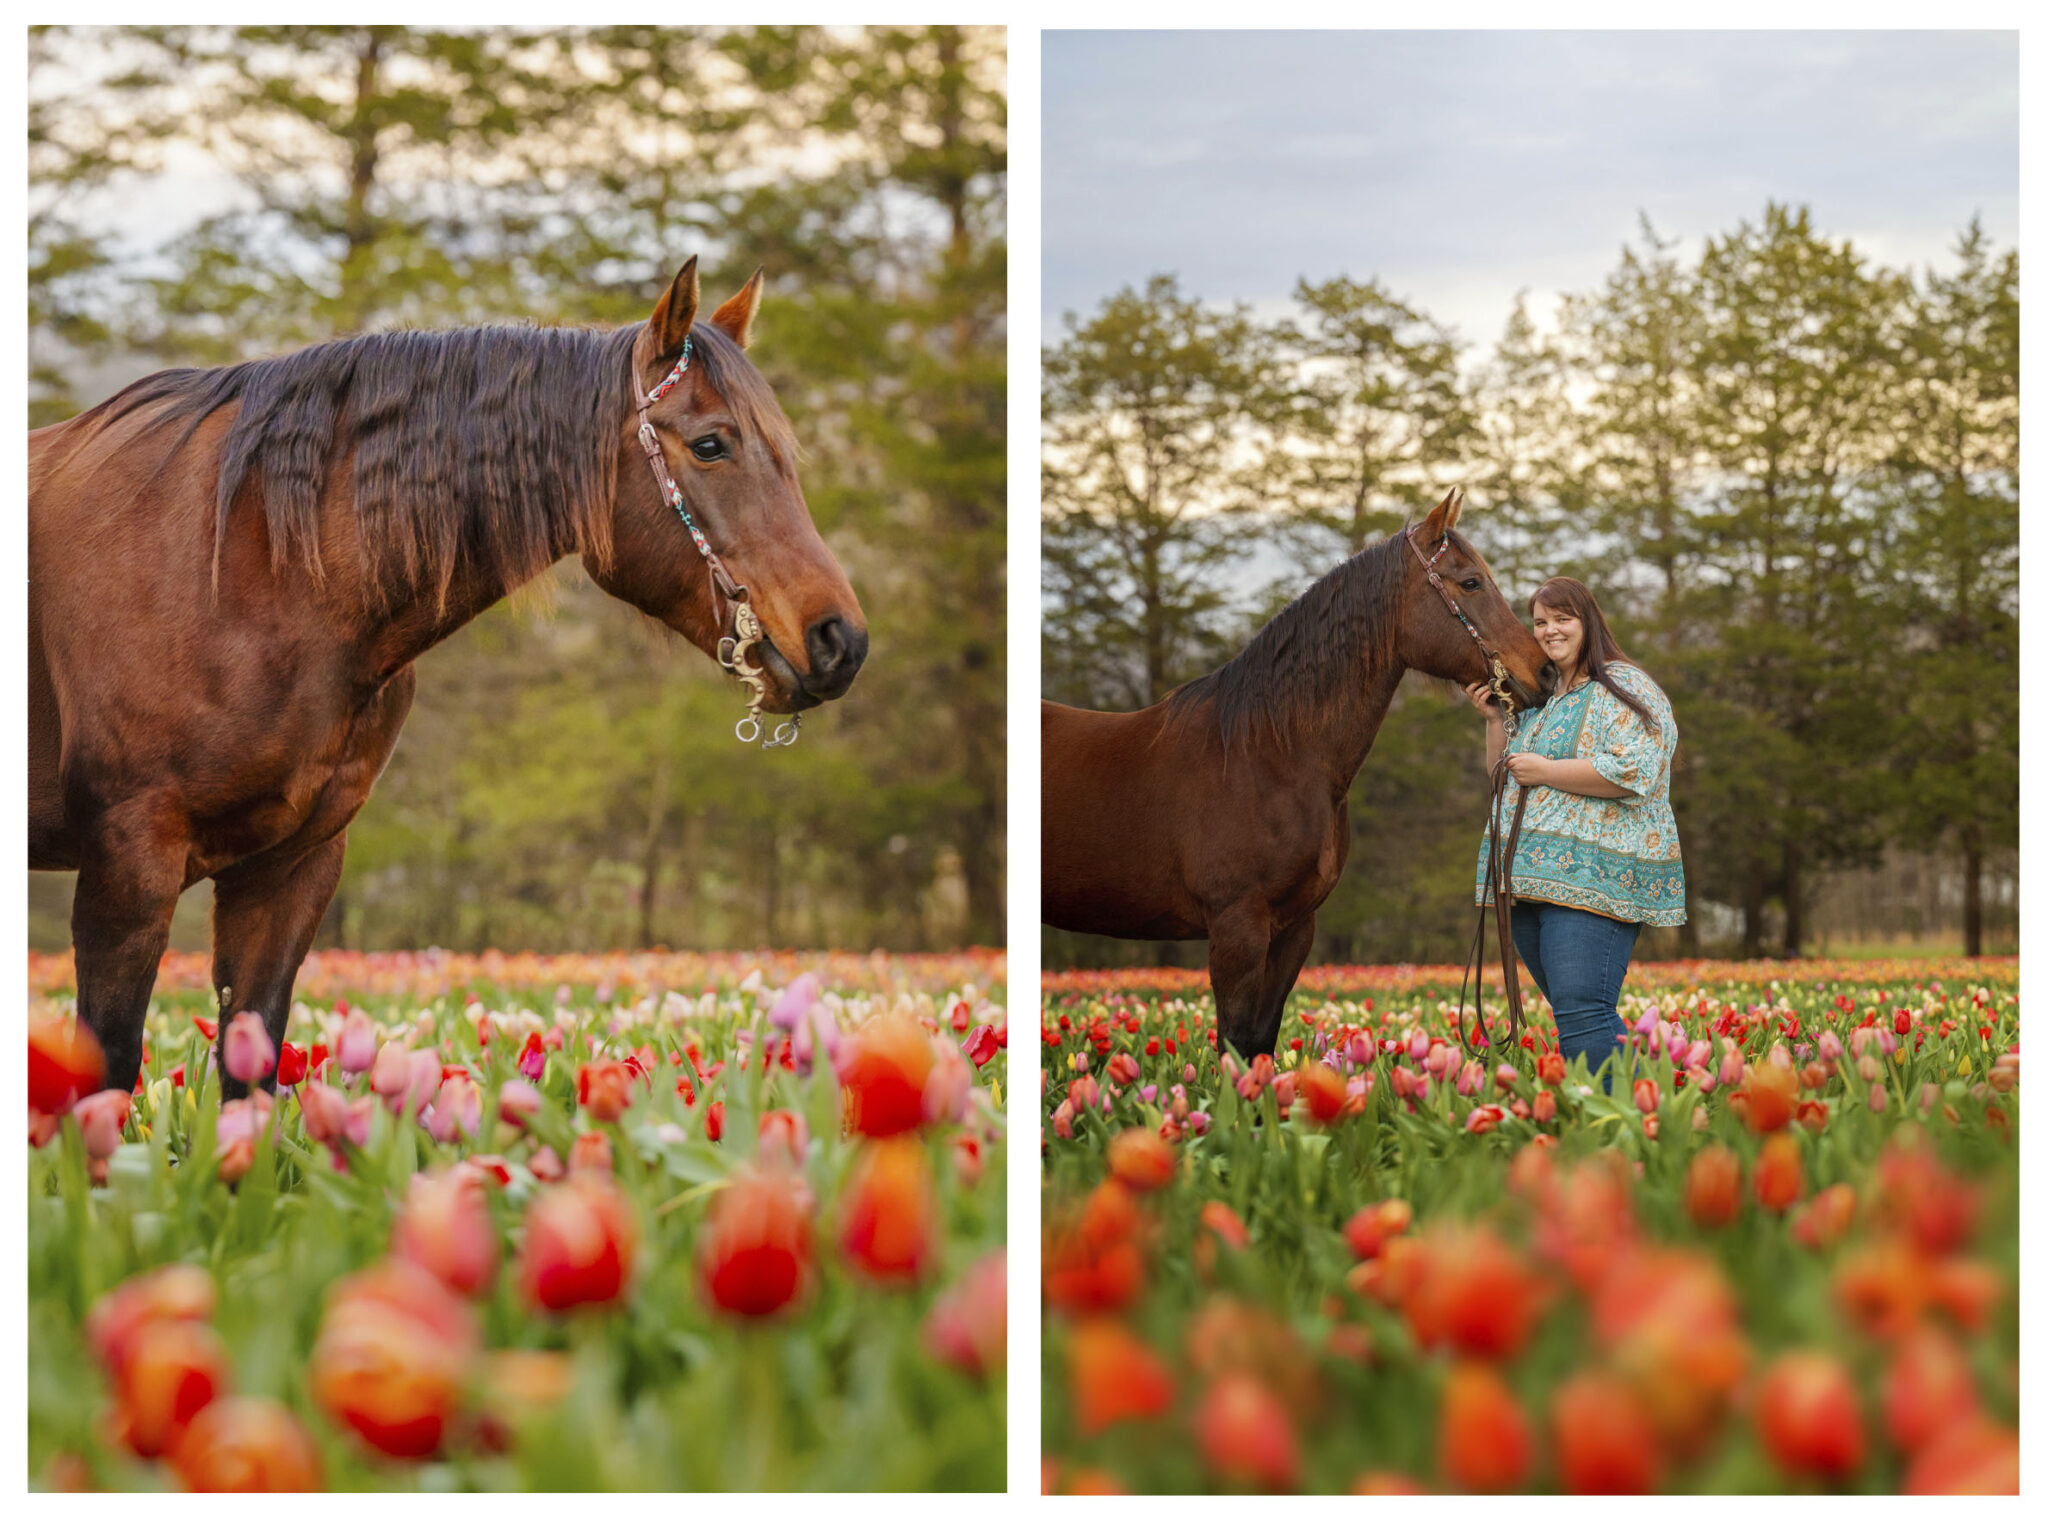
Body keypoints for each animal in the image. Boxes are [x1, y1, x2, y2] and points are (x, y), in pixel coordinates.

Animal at [29, 257, 868, 1097]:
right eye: (711, 444)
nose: (842, 640)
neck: (245, 559)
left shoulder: (289, 868)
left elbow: (252, 1069)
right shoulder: (130, 861)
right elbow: (109, 1067)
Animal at [1041, 487, 1553, 1060]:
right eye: (1470, 582)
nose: (1545, 672)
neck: (1266, 754)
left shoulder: (1294, 928)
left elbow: (1260, 1042)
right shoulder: (1238, 927)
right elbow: (1235, 1045)